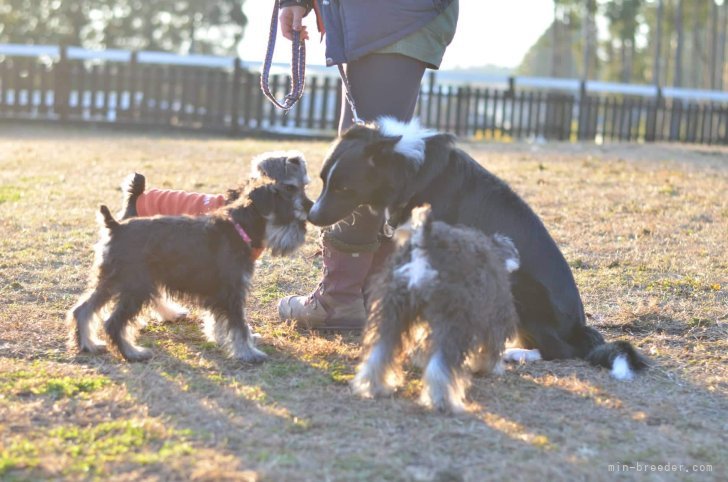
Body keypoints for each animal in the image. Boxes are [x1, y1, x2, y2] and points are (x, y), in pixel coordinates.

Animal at [69, 156, 314, 364]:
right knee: (113, 322)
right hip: (136, 286)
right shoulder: (232, 291)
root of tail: (115, 226)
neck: (240, 227)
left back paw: (89, 344)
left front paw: (221, 339)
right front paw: (248, 353)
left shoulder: (219, 292)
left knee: (83, 309)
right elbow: (239, 325)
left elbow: (220, 321)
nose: (309, 211)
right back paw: (132, 352)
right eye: (287, 205)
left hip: (112, 280)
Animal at [308, 117, 648, 380]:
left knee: (560, 350)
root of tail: (579, 326)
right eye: (323, 180)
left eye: (344, 188)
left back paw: (518, 353)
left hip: (516, 283)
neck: (411, 170)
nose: (311, 216)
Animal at [354, 205, 520, 412]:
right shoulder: (494, 317)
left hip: (393, 311)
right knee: (440, 366)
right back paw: (442, 401)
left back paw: (374, 387)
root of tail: (423, 246)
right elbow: (492, 348)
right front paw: (491, 367)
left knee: (378, 352)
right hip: (453, 320)